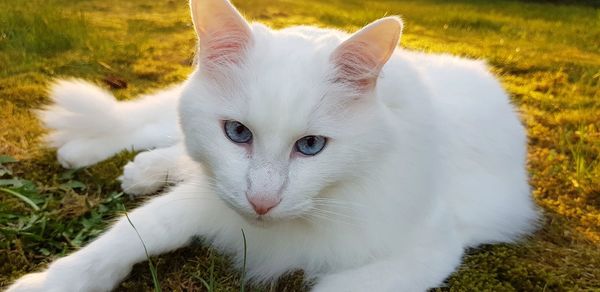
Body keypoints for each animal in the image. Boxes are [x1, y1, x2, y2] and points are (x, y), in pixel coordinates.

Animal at [8, 0, 540, 290]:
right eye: (238, 133)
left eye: (312, 146)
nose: (261, 202)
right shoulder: (213, 202)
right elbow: (129, 236)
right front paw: (51, 282)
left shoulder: (425, 248)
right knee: (147, 127)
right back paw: (87, 154)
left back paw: (139, 169)